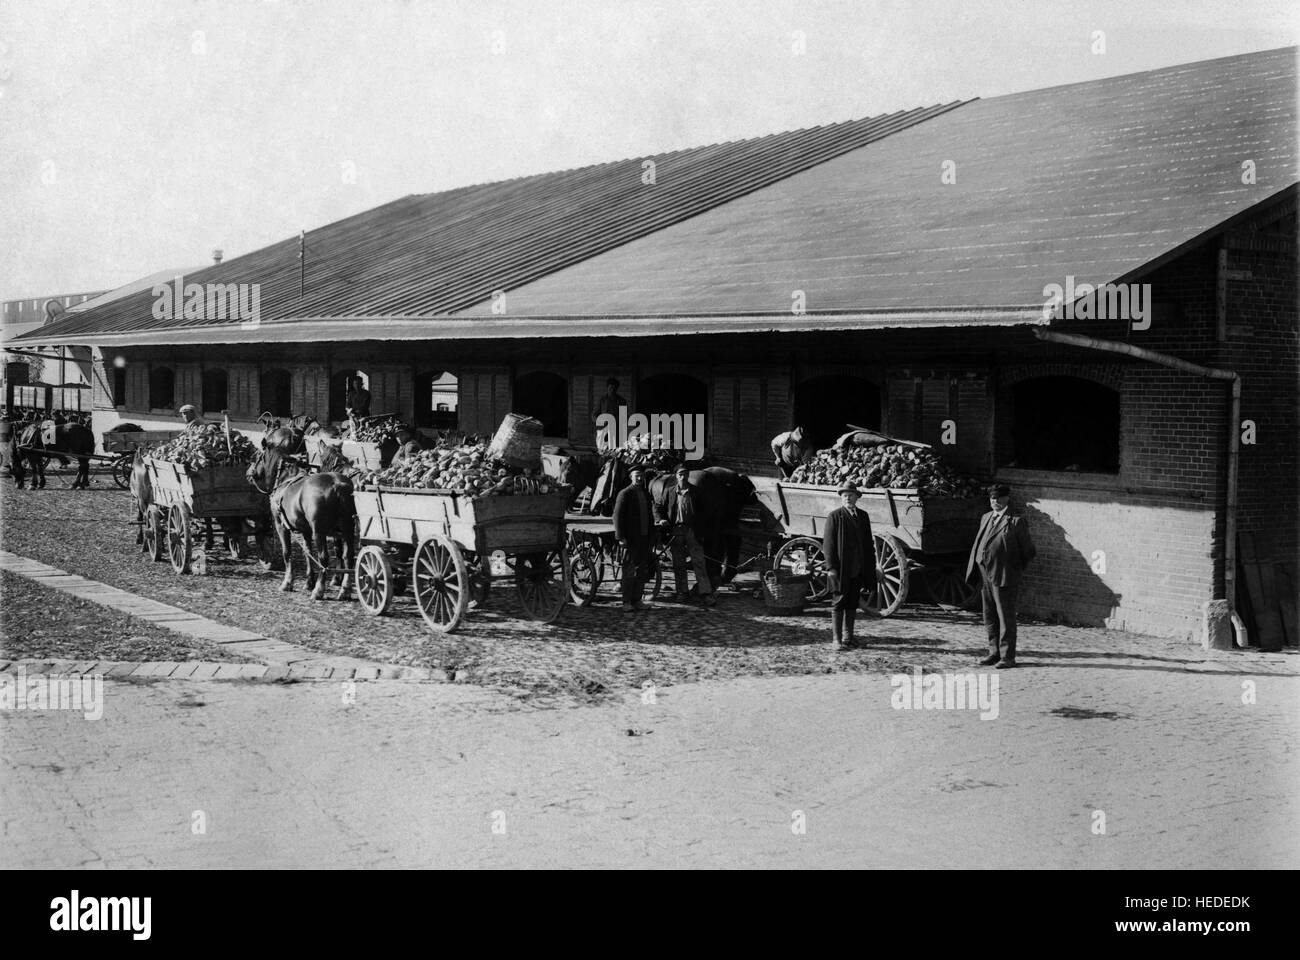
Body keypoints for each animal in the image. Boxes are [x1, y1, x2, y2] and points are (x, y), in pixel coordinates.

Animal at [246, 444, 356, 595]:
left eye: (255, 456)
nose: (248, 473)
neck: (286, 479)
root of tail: (337, 485)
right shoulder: (306, 530)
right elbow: (307, 552)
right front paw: (309, 582)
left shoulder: (280, 526)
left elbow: (287, 553)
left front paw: (287, 583)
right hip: (347, 529)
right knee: (348, 556)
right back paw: (345, 589)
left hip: (320, 532)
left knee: (324, 557)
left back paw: (319, 590)